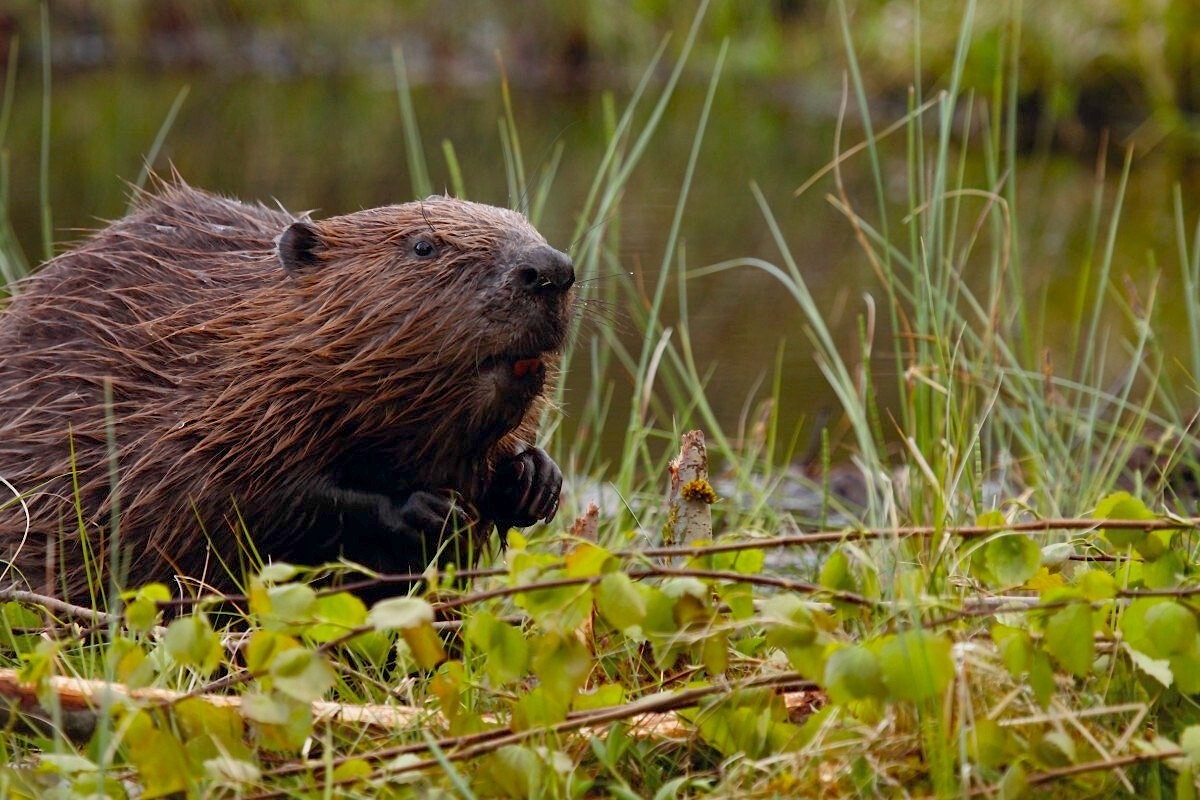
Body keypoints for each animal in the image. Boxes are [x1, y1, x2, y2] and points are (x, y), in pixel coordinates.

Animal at [0, 178, 576, 597]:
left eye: (528, 225)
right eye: (423, 245)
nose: (550, 268)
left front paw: (535, 479)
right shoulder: (195, 410)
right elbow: (239, 499)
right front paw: (424, 509)